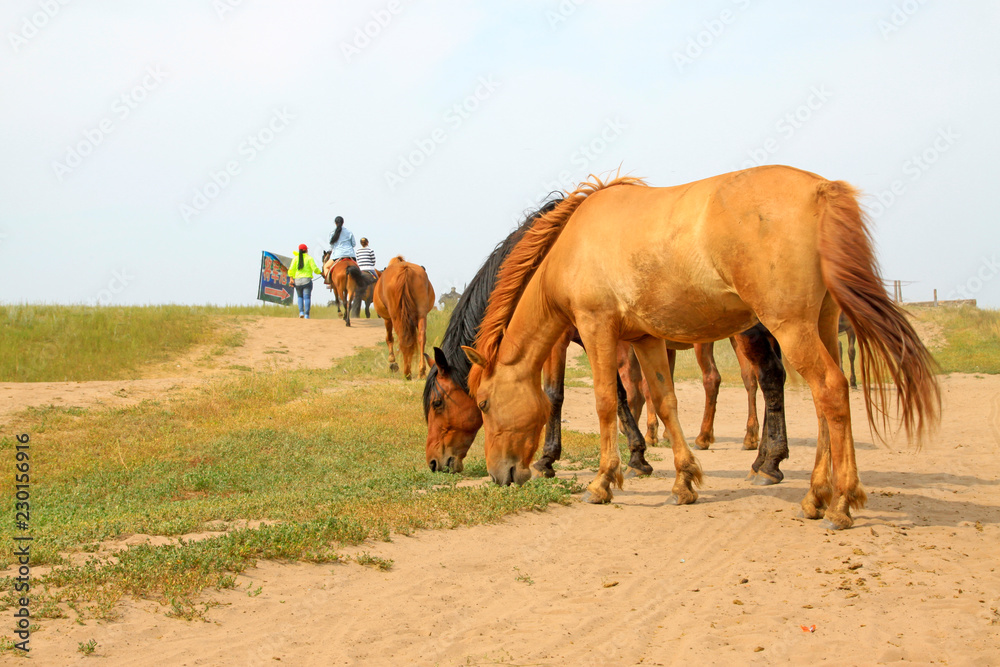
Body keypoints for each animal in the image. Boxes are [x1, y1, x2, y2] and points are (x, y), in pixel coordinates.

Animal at [424, 197, 791, 485]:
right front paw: (638, 454)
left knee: (765, 376)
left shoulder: (566, 339)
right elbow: (621, 392)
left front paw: (549, 460)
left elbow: (558, 394)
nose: (434, 462)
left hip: (748, 333)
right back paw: (756, 453)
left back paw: (765, 462)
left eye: (437, 403)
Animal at [464, 168, 939, 530]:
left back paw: (838, 502)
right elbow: (664, 400)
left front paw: (602, 481)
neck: (572, 246)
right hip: (820, 325)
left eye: (483, 403)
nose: (500, 475)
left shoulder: (597, 327)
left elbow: (605, 401)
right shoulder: (645, 339)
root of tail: (821, 189)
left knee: (831, 391)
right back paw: (814, 497)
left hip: (791, 328)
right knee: (824, 404)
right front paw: (683, 479)